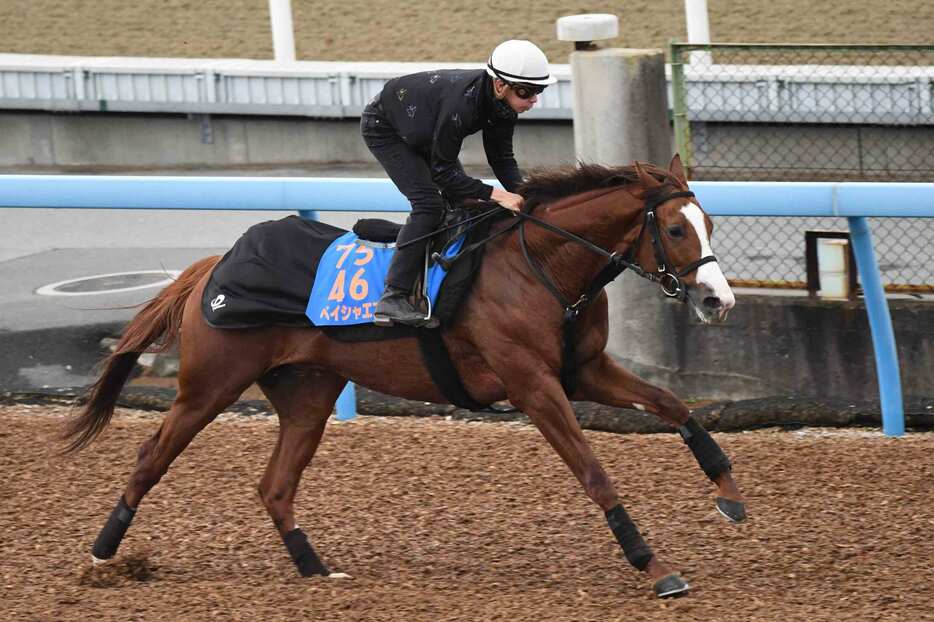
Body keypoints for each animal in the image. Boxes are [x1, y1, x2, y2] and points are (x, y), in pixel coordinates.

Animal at [66, 155, 744, 600]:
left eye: (711, 224)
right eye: (676, 228)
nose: (719, 301)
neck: (538, 265)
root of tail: (214, 264)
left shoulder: (583, 370)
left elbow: (673, 405)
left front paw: (728, 493)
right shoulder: (533, 384)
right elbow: (594, 471)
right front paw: (652, 564)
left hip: (308, 395)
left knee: (275, 485)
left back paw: (316, 569)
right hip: (211, 384)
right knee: (152, 457)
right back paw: (101, 558)